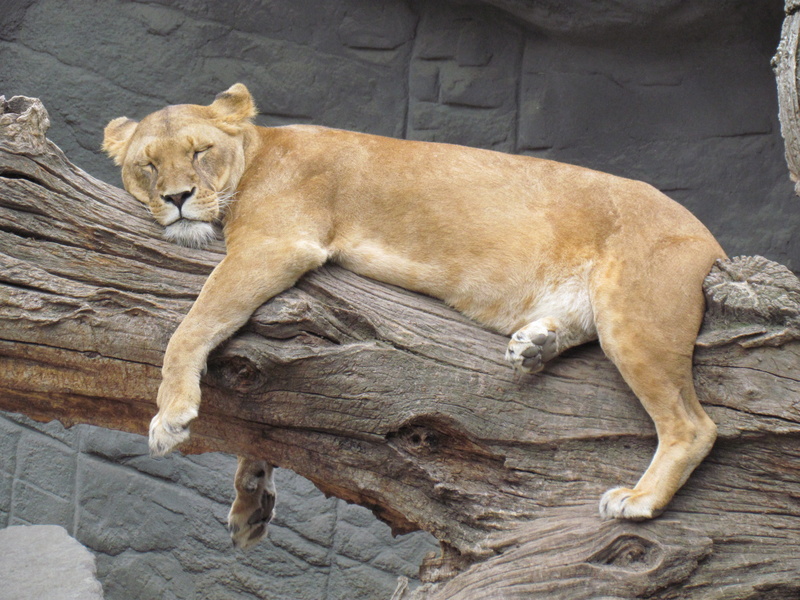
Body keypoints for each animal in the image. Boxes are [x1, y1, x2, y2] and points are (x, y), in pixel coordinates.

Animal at [103, 83, 725, 549]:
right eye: (147, 165)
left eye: (199, 152)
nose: (177, 198)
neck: (256, 153)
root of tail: (709, 237)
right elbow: (264, 417)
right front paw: (251, 500)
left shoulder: (276, 245)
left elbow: (192, 326)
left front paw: (171, 416)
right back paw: (535, 346)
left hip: (635, 319)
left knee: (693, 426)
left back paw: (639, 500)